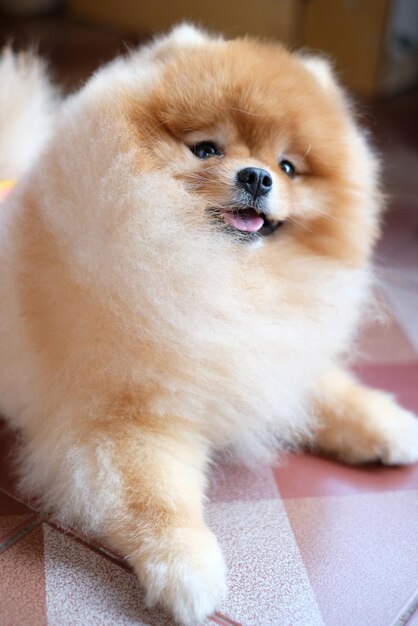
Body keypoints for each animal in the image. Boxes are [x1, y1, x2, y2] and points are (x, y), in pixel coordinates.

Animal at [0, 25, 418, 624]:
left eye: (287, 166)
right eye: (206, 149)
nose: (257, 176)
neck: (222, 280)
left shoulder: (258, 355)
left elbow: (329, 391)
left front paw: (389, 425)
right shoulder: (124, 420)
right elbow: (153, 498)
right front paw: (187, 571)